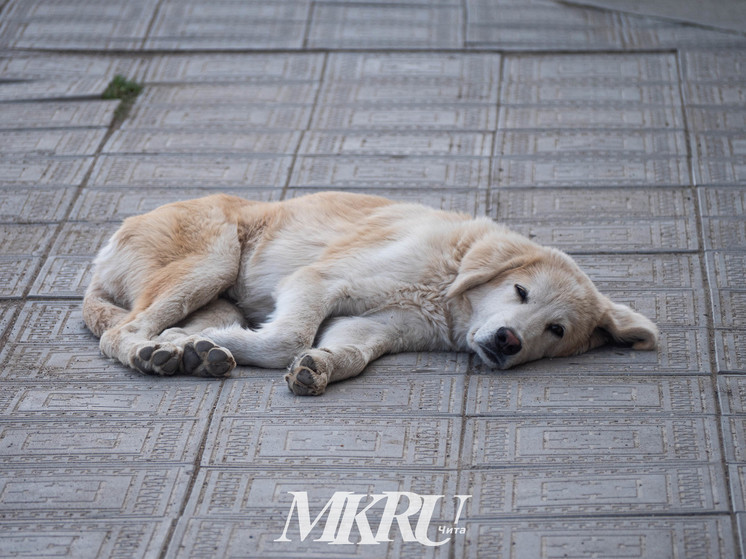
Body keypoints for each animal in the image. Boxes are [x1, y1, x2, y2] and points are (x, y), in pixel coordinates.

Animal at [83, 191, 656, 394]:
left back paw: (199, 353)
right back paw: (155, 352)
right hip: (213, 260)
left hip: (216, 297)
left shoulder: (373, 324)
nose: (508, 342)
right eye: (519, 291)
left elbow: (350, 355)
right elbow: (289, 338)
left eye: (556, 330)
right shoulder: (317, 281)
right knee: (121, 332)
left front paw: (320, 368)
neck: (445, 287)